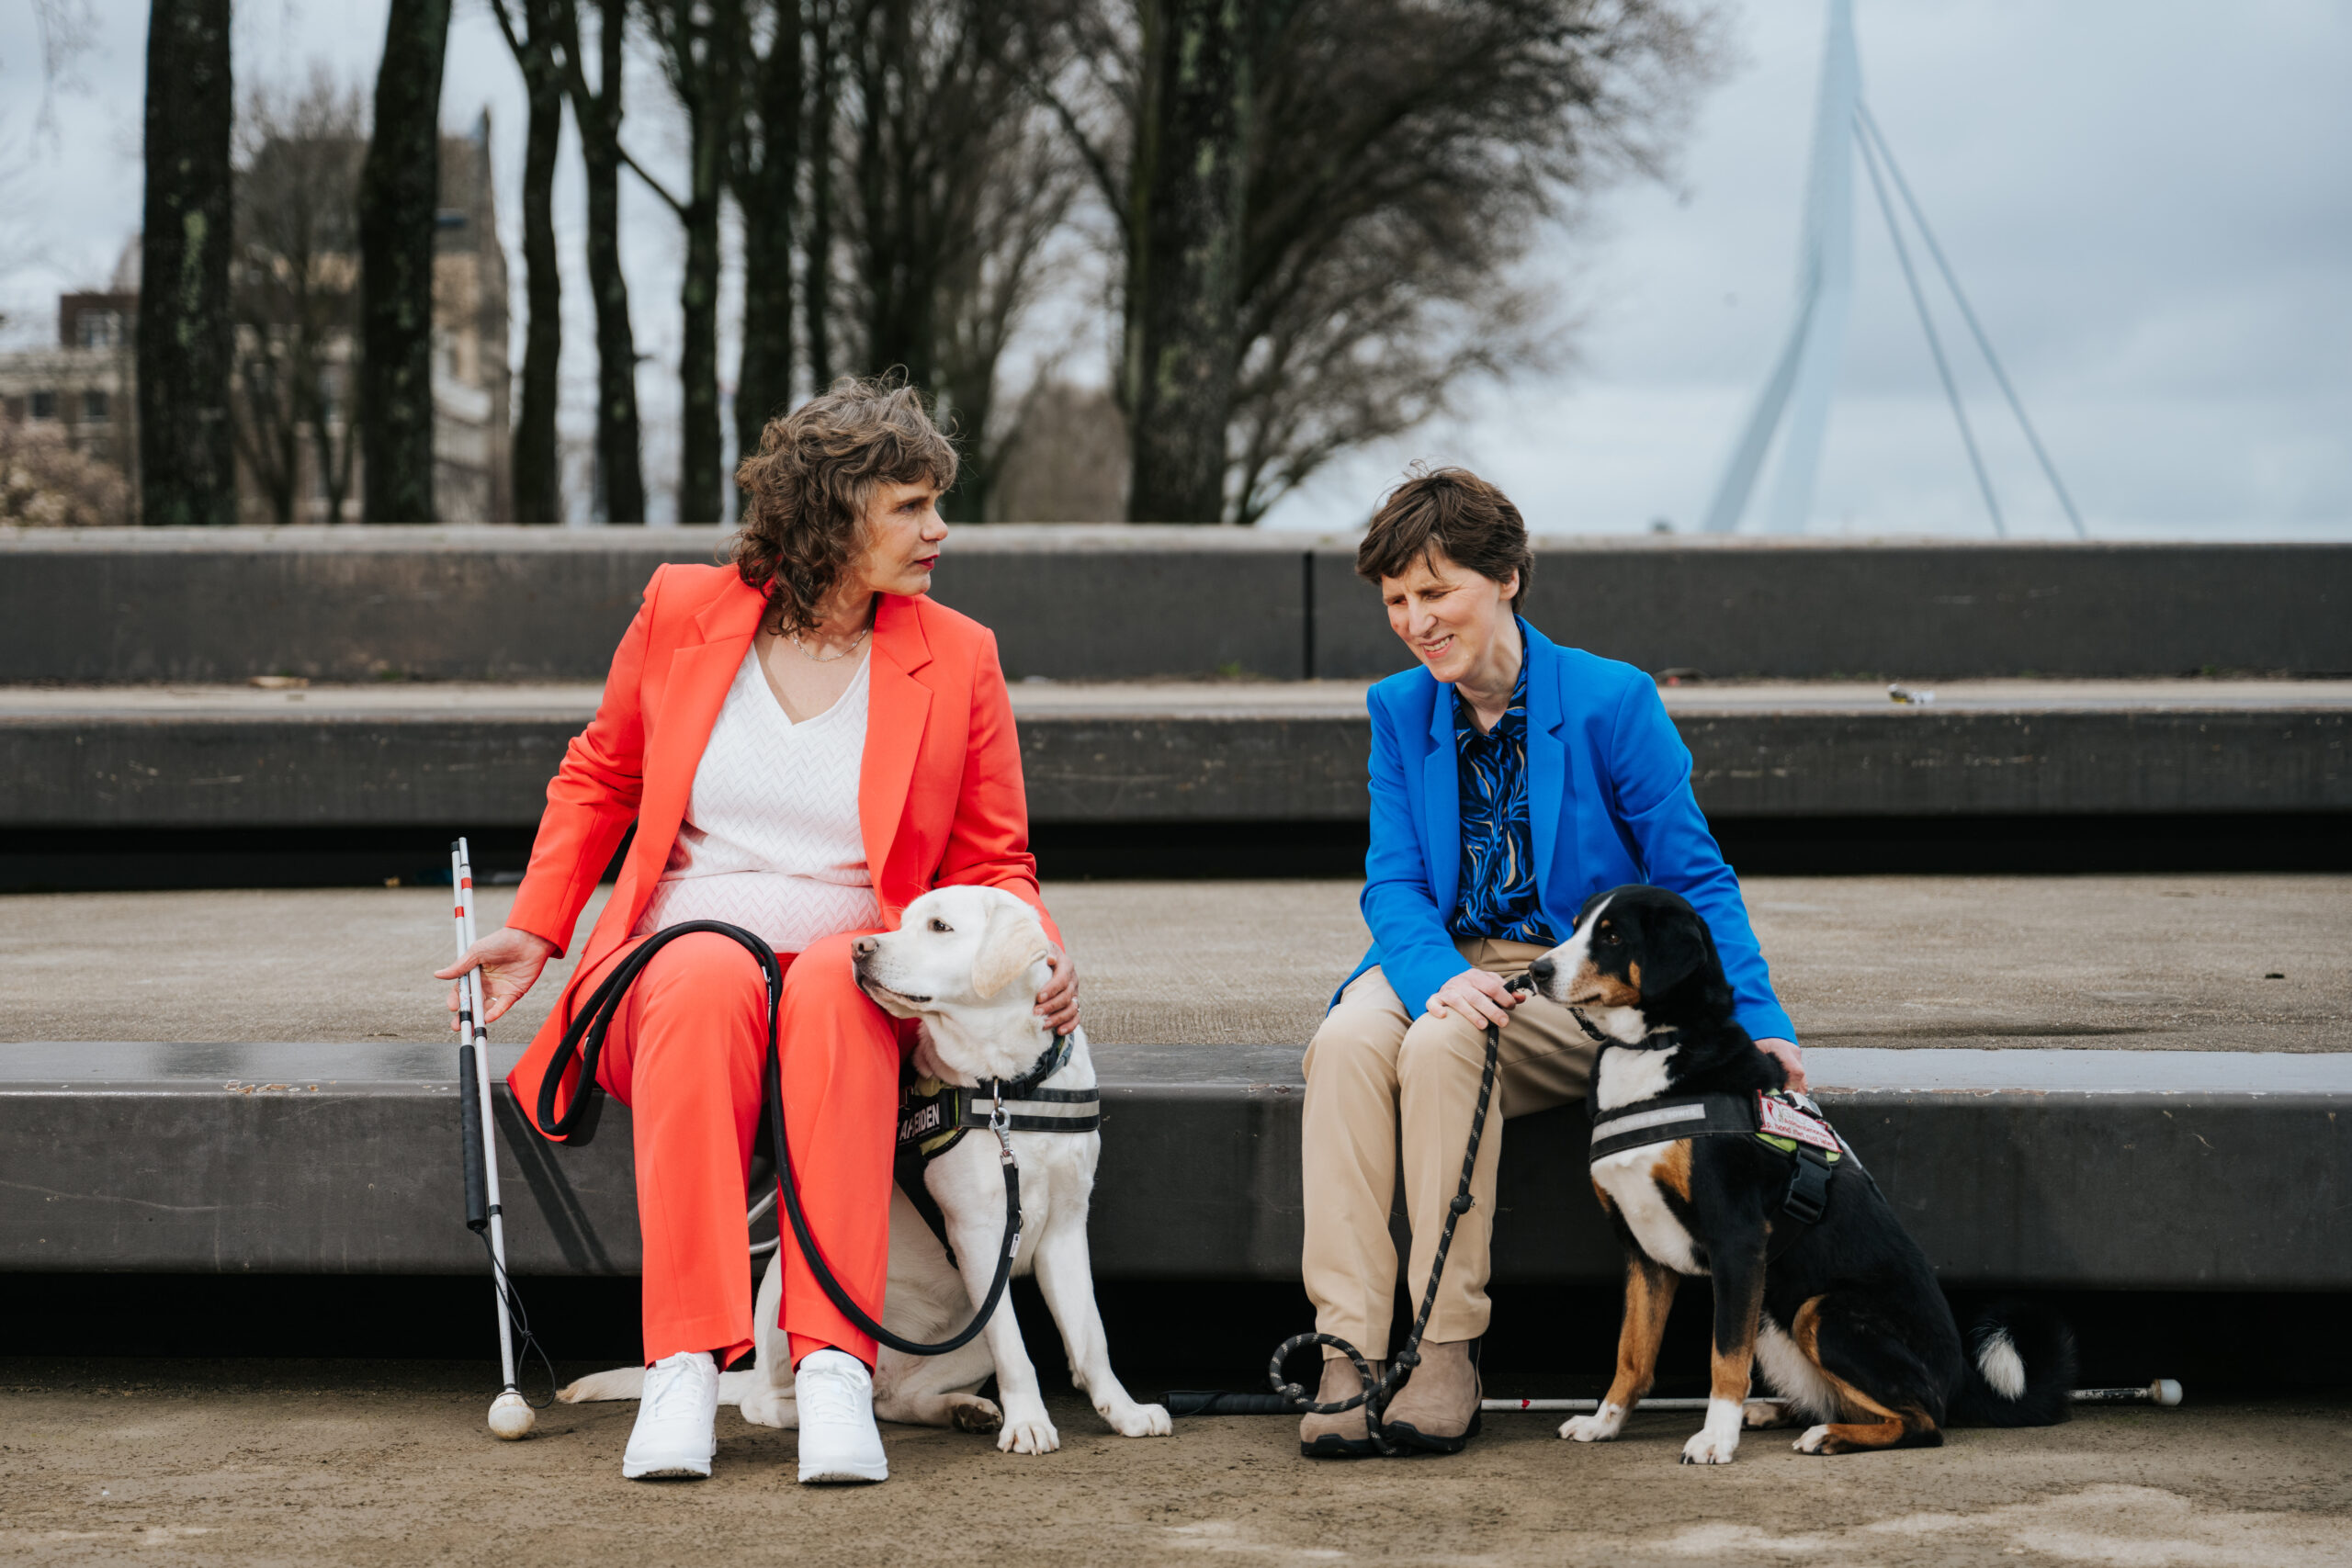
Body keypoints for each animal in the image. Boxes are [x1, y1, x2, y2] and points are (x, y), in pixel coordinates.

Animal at [1533, 888, 2069, 1466]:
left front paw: (1715, 1439)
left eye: (1611, 936)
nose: (1536, 971)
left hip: (1823, 1311)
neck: (1655, 1050)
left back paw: (1829, 1435)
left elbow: (1726, 1359)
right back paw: (1775, 1412)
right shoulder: (1642, 1252)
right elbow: (1632, 1354)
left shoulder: (1737, 1240)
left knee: (1925, 1418)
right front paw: (1604, 1424)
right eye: (1576, 926)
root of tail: (1962, 1380)